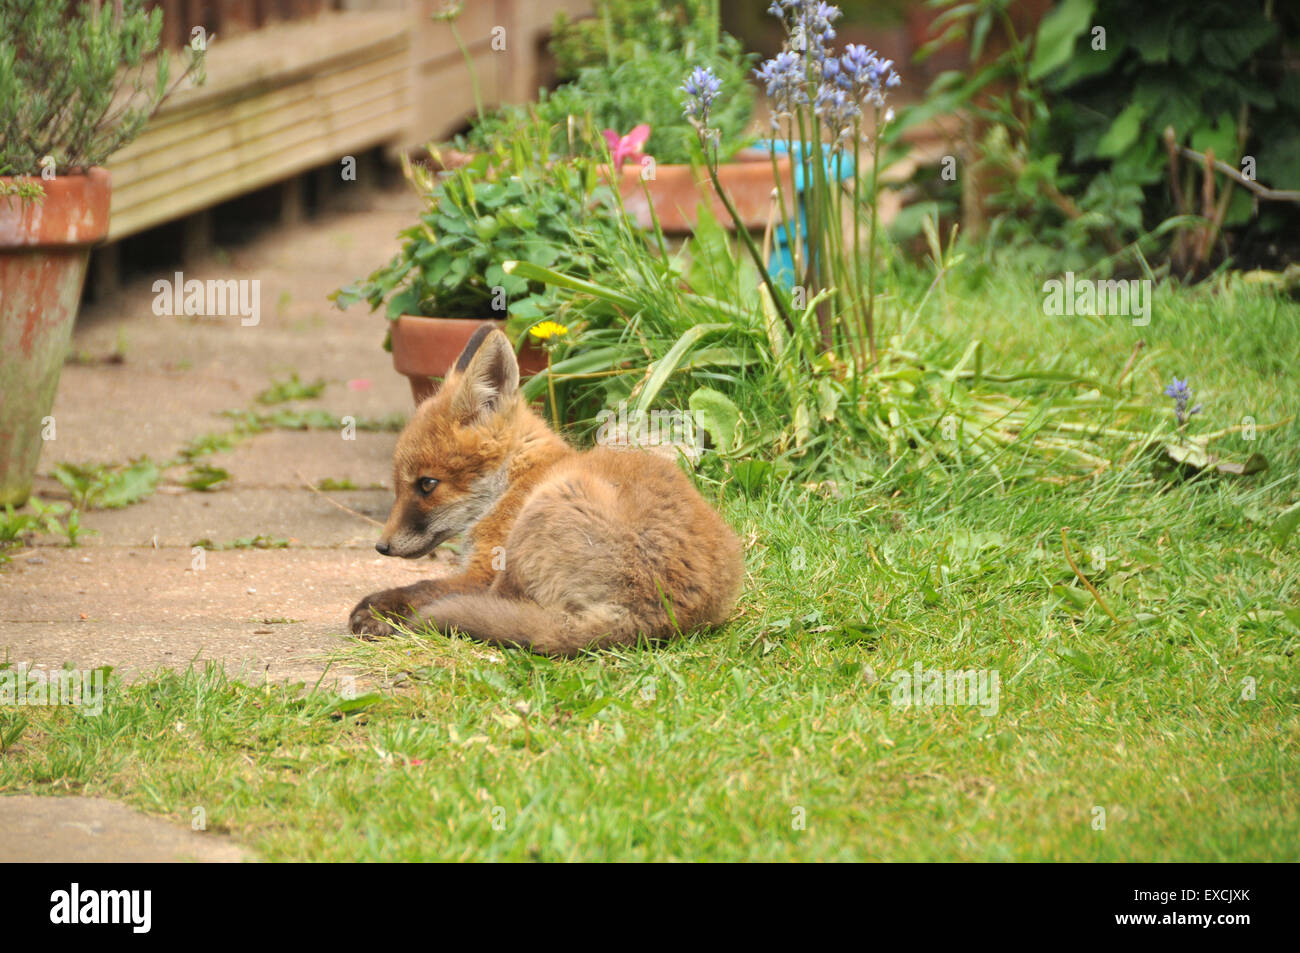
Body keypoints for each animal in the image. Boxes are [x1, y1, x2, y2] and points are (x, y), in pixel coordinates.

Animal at [349, 326, 744, 656]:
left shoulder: (485, 570)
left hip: (547, 509)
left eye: (427, 484)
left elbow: (424, 588)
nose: (381, 547)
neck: (515, 483)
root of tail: (654, 619)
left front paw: (378, 609)